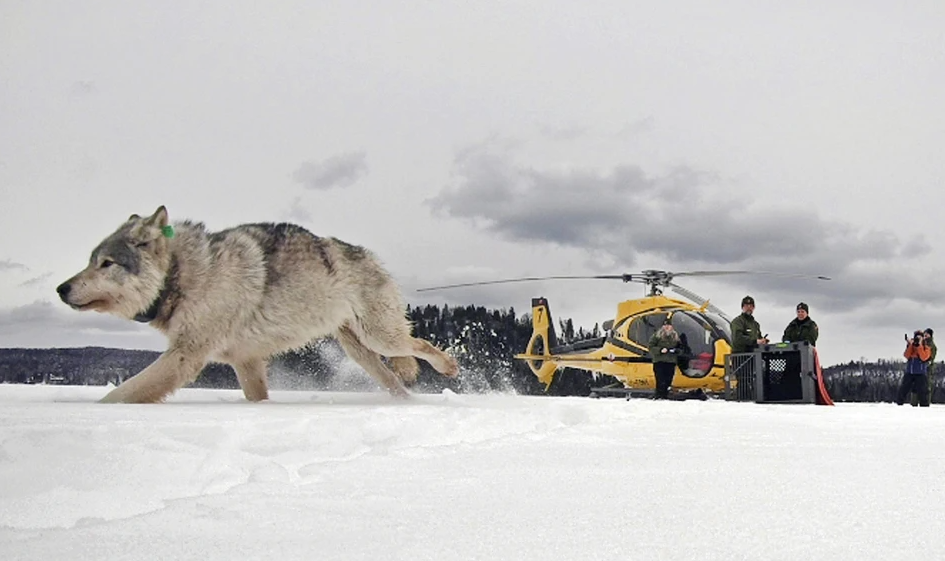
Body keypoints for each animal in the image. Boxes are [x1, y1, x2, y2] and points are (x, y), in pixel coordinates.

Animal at [56, 206, 459, 404]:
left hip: (379, 338)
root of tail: (368, 253)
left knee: (421, 345)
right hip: (360, 351)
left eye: (106, 263)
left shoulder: (186, 355)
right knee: (396, 378)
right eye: (91, 260)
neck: (183, 274)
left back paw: (449, 367)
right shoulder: (245, 360)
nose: (61, 288)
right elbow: (256, 398)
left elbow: (119, 395)